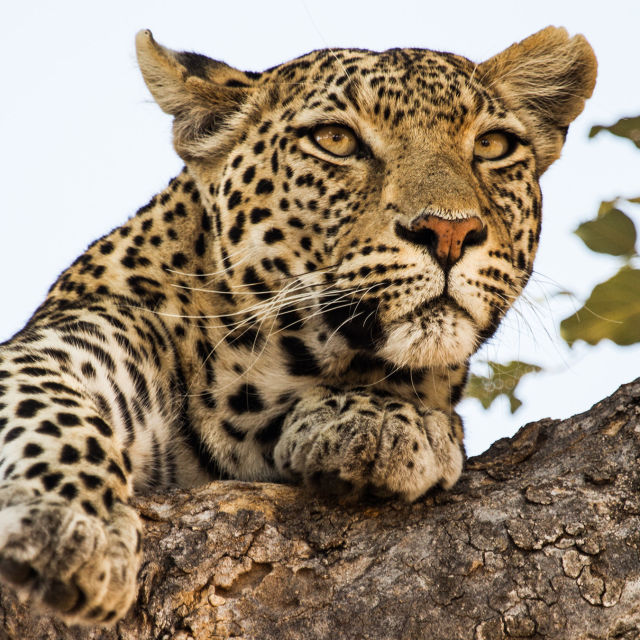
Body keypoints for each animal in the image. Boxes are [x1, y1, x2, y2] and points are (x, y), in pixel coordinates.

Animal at [0, 26, 596, 625]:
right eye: (336, 140)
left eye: (493, 146)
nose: (450, 232)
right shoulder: (66, 344)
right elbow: (50, 410)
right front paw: (72, 532)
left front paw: (383, 420)